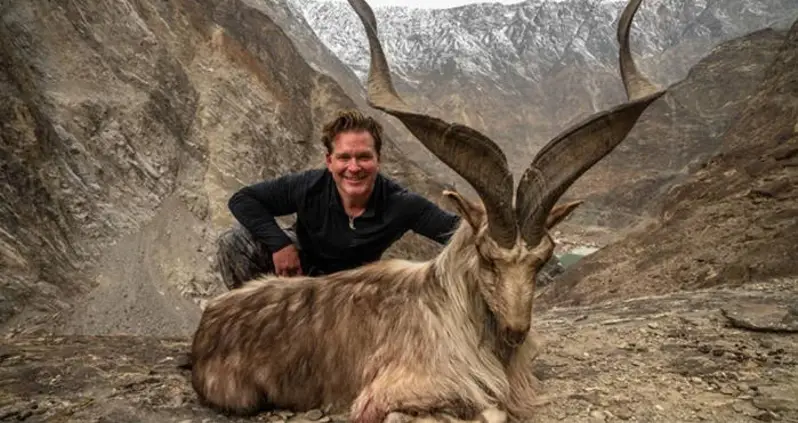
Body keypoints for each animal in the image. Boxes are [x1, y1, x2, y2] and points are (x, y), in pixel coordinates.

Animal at [189, 0, 666, 421]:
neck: (454, 311)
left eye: (543, 259)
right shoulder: (389, 394)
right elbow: (487, 412)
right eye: (487, 258)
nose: (516, 330)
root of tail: (207, 322)